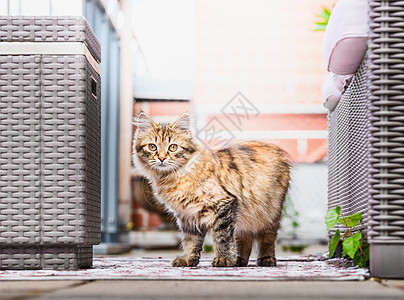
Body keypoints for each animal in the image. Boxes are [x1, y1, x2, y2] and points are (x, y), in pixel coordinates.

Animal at [133, 112, 290, 268]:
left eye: (172, 147)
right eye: (152, 147)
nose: (161, 158)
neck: (172, 177)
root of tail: (275, 147)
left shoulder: (223, 205)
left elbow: (223, 239)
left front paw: (225, 259)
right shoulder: (187, 215)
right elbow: (190, 241)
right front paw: (187, 259)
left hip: (269, 212)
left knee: (267, 237)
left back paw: (266, 259)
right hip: (245, 216)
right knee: (245, 237)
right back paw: (239, 260)